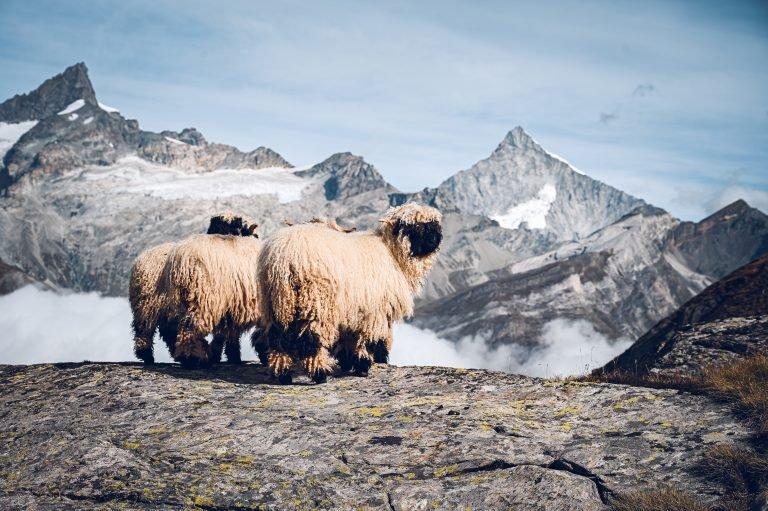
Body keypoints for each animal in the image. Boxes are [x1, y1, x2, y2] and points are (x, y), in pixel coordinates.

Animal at [130, 212, 258, 365]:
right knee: (170, 328)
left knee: (152, 329)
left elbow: (227, 332)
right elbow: (227, 333)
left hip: (152, 304)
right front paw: (228, 356)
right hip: (160, 302)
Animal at [258, 203, 442, 384]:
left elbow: (348, 339)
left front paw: (349, 363)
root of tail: (285, 256)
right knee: (311, 340)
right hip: (316, 301)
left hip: (279, 303)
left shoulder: (352, 311)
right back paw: (319, 374)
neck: (391, 254)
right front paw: (363, 366)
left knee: (278, 339)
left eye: (434, 225)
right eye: (413, 226)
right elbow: (369, 340)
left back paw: (283, 375)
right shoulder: (373, 311)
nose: (435, 240)